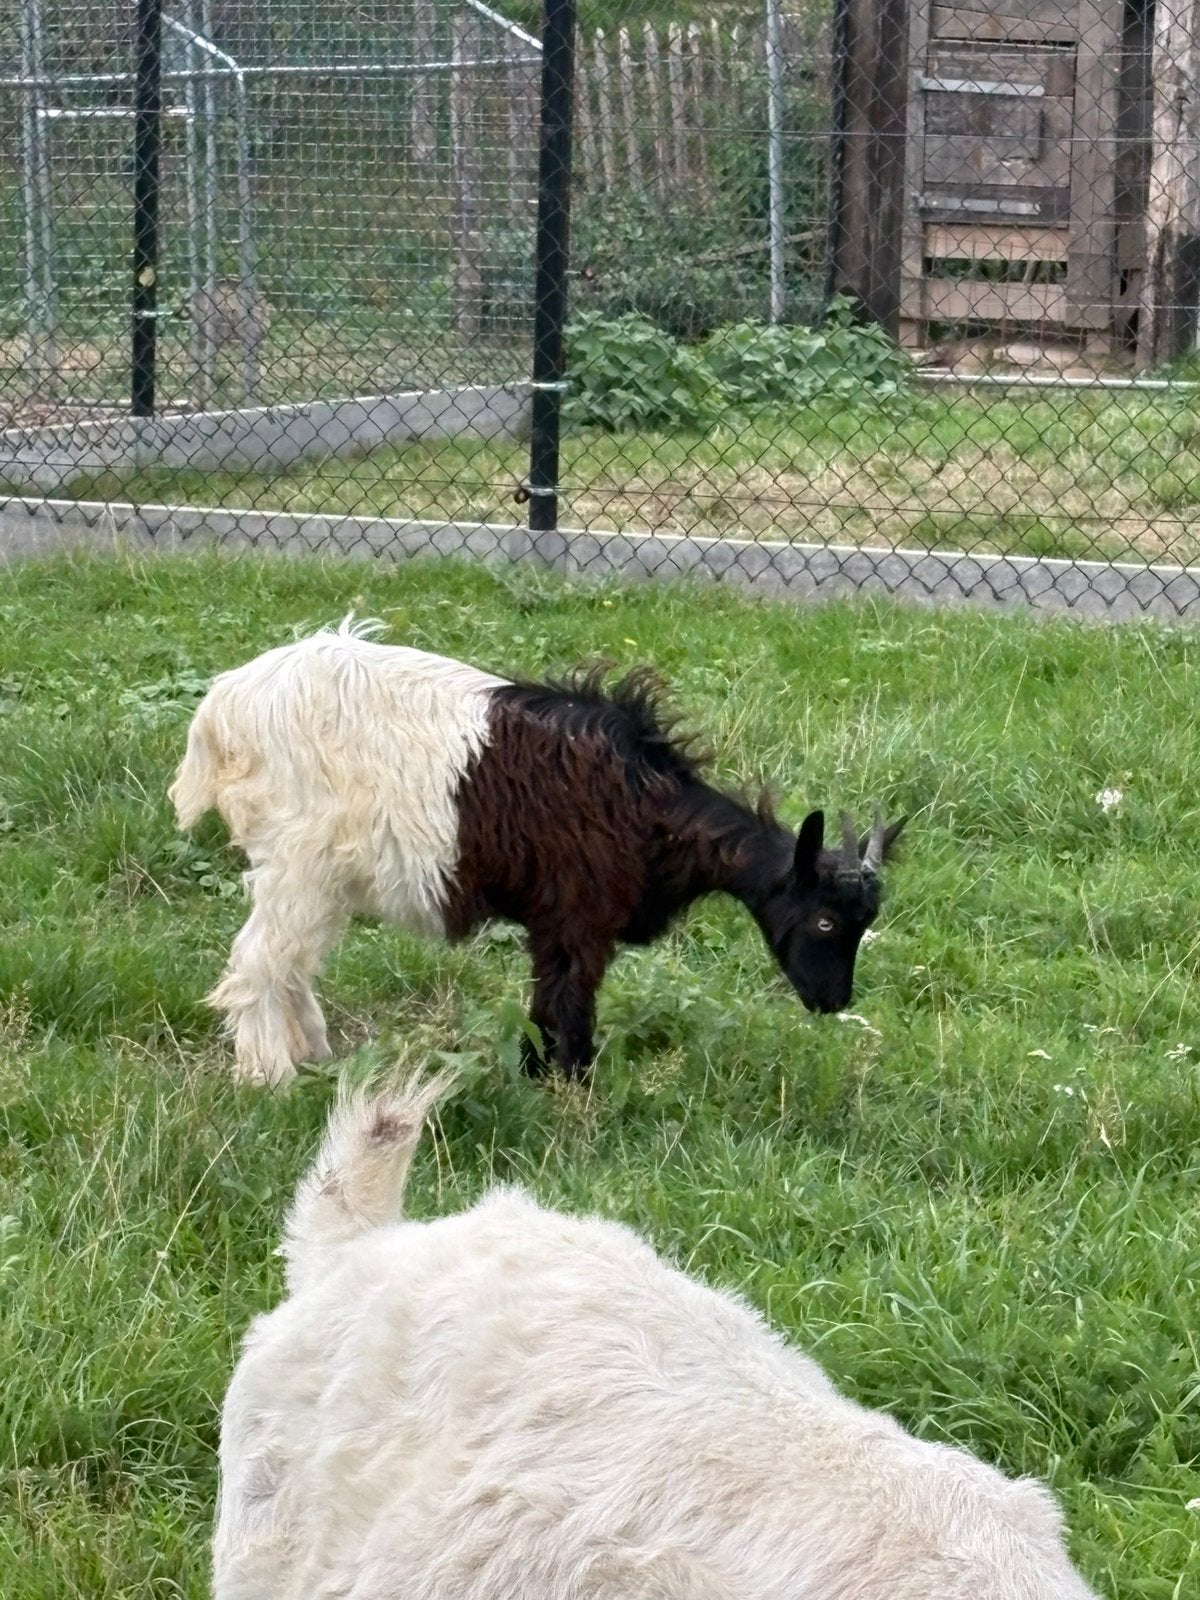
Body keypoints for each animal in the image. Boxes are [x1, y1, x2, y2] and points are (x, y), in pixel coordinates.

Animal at [170, 622, 905, 1086]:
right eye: (825, 921)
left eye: (864, 923)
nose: (833, 1001)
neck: (644, 803)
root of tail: (221, 713)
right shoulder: (576, 914)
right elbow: (565, 1001)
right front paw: (572, 1087)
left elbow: (546, 1001)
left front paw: (536, 1074)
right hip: (298, 858)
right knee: (259, 960)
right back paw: (269, 1077)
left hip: (316, 873)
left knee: (291, 960)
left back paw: (313, 1055)